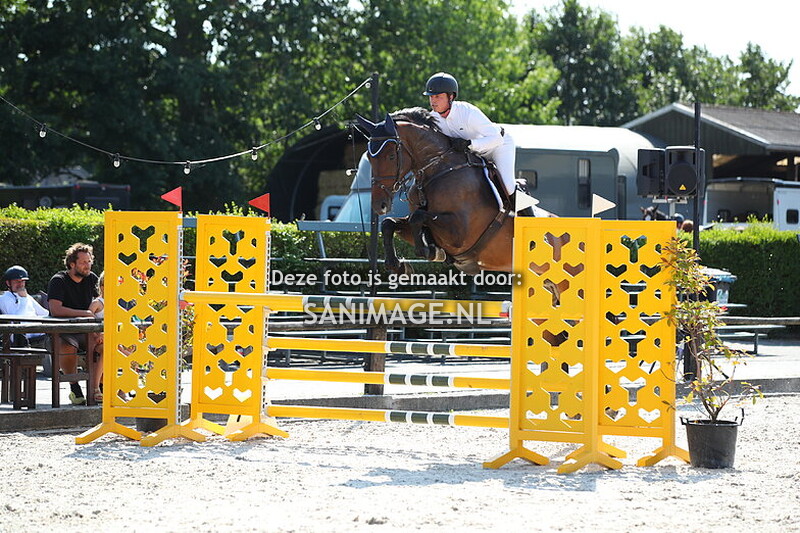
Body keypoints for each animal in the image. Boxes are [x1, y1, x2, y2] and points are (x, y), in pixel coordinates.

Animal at [356, 108, 516, 275]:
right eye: (369, 157)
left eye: (391, 156)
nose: (379, 205)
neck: (438, 170)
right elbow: (389, 223)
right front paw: (397, 265)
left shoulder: (459, 235)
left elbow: (417, 217)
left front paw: (428, 251)